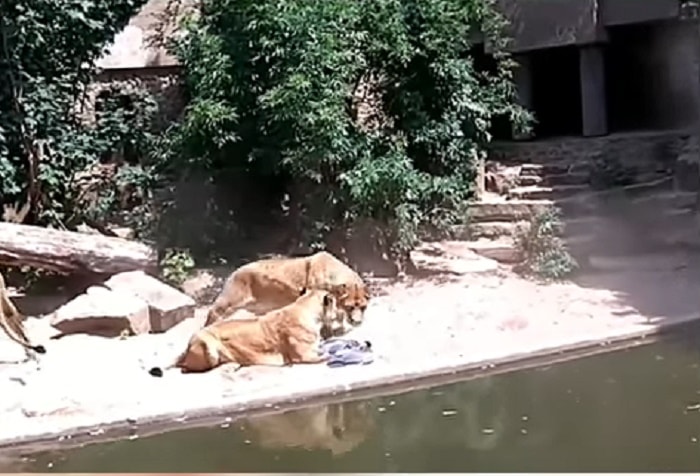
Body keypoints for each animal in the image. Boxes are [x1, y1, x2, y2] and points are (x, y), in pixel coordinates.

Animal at [149, 288, 343, 376]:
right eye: (335, 303)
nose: (341, 313)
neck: (306, 307)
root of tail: (188, 345)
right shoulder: (303, 356)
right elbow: (325, 355)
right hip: (209, 346)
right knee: (187, 368)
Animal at [205, 251, 370, 335]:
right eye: (350, 307)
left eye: (363, 307)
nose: (357, 322)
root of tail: (234, 272)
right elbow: (327, 317)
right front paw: (327, 332)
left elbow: (338, 316)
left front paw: (341, 329)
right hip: (226, 304)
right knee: (211, 316)